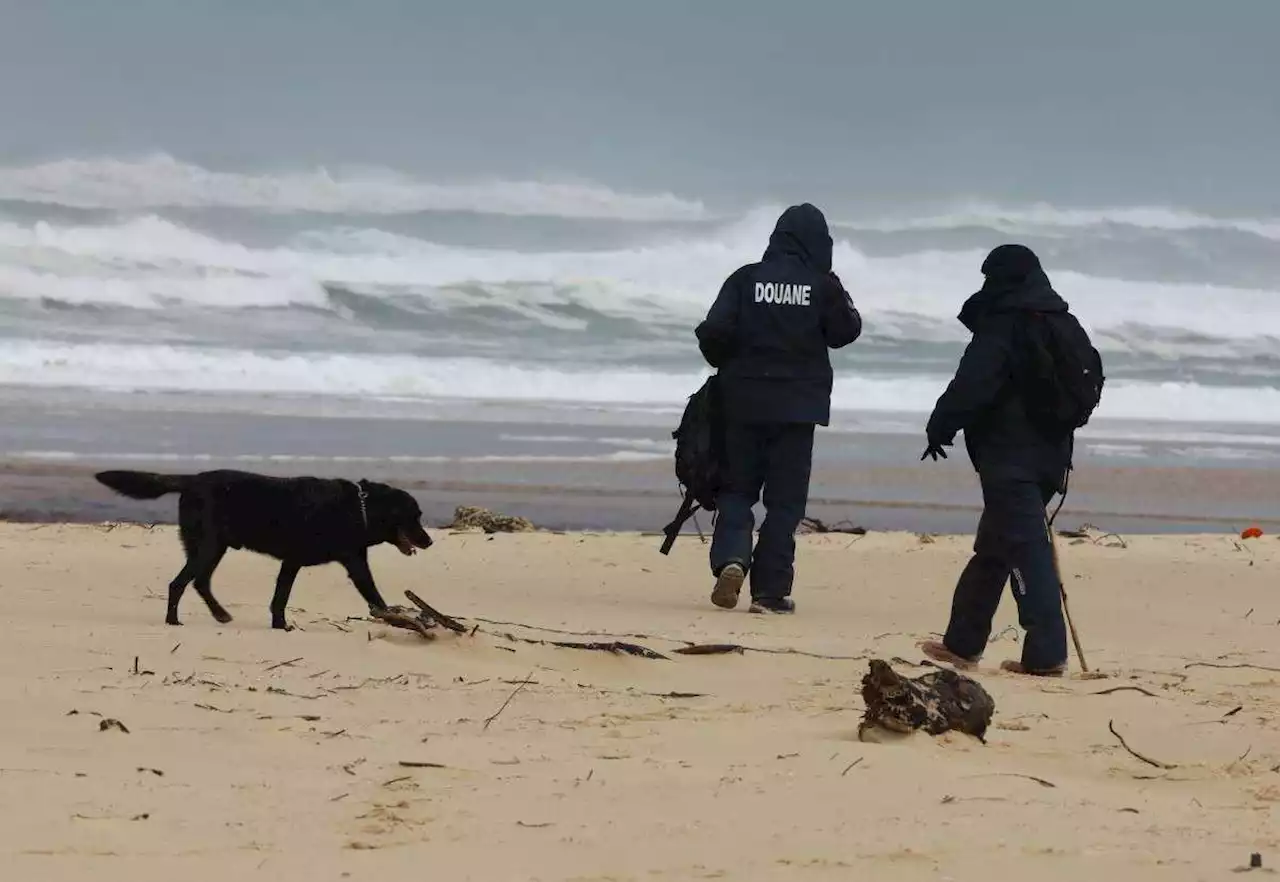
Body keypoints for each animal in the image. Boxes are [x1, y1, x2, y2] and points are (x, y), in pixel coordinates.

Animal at [94, 468, 432, 627]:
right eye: (414, 516)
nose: (429, 541)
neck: (358, 508)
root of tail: (193, 480)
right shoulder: (343, 563)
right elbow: (373, 594)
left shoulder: (304, 562)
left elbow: (280, 598)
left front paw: (278, 625)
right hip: (209, 546)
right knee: (179, 583)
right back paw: (173, 621)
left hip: (211, 547)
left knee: (199, 582)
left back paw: (220, 615)